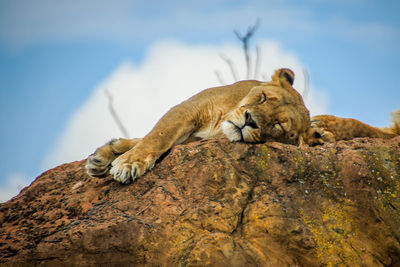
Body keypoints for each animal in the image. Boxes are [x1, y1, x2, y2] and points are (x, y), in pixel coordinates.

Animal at [86, 68, 314, 184]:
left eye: (278, 126)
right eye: (264, 98)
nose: (249, 120)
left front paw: (121, 160)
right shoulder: (188, 108)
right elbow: (158, 135)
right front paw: (126, 161)